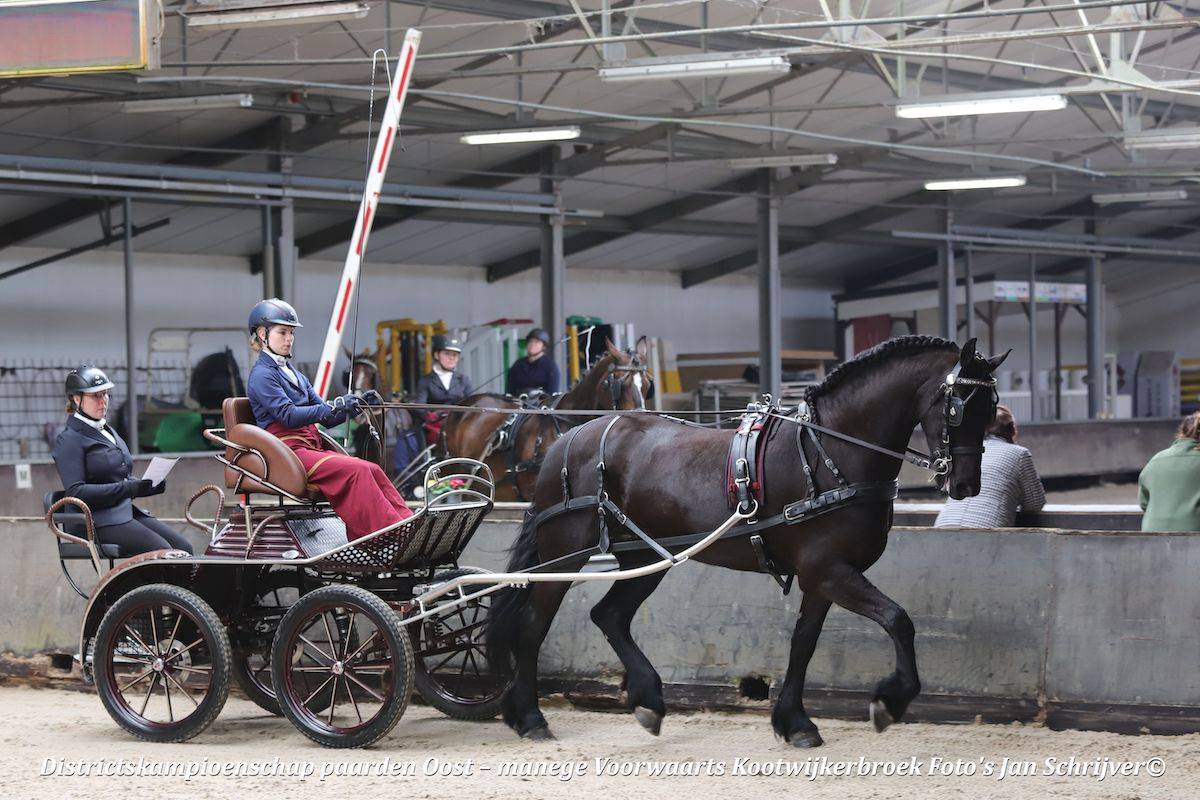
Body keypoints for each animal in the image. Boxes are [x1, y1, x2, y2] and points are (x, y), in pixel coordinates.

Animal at [485, 336, 1008, 745]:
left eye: (990, 408)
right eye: (958, 407)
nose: (965, 484)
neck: (831, 452)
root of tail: (565, 441)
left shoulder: (822, 577)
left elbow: (803, 643)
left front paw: (795, 722)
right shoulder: (830, 571)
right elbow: (899, 621)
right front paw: (889, 701)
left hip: (649, 557)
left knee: (610, 615)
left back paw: (648, 700)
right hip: (563, 556)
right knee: (533, 624)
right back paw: (529, 716)